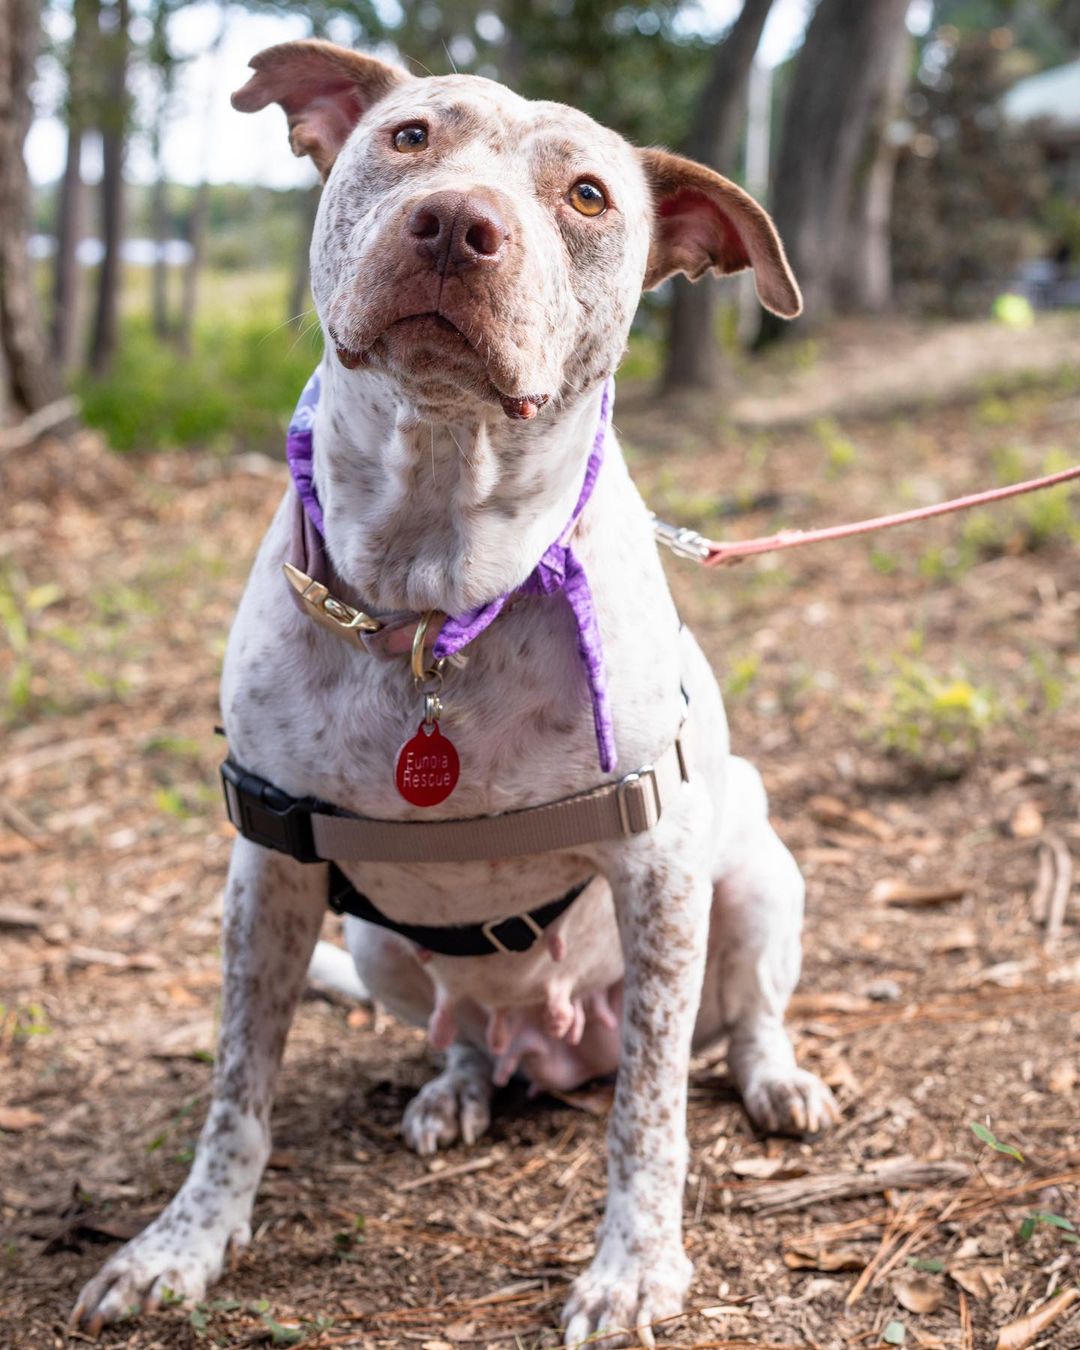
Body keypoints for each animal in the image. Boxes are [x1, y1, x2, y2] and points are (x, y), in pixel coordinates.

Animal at [71, 36, 837, 1344]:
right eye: (410, 137)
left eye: (588, 196)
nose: (454, 224)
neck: (433, 595)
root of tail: (556, 1049)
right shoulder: (268, 869)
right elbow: (237, 1091)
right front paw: (183, 1243)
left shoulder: (660, 868)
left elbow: (650, 1116)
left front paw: (634, 1268)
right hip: (379, 947)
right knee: (466, 1027)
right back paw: (457, 1090)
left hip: (753, 874)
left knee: (738, 1018)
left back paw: (772, 1076)